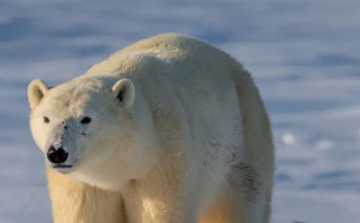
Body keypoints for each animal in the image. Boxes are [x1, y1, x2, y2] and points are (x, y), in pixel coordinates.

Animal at [28, 33, 274, 223]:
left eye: (86, 118)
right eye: (46, 118)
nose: (57, 152)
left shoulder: (163, 160)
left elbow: (161, 212)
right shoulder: (84, 183)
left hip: (244, 139)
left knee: (242, 200)